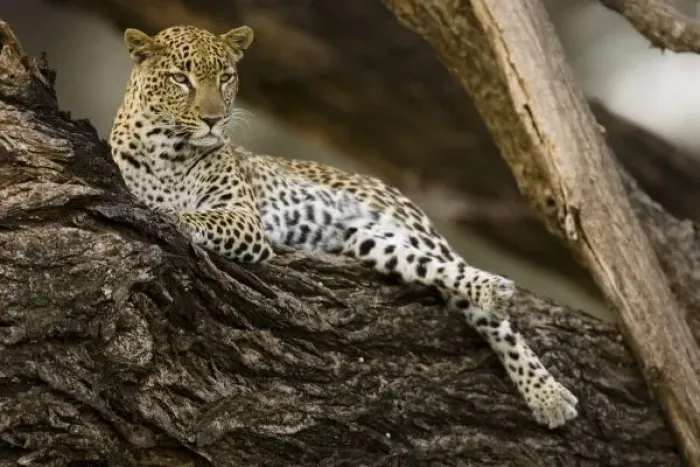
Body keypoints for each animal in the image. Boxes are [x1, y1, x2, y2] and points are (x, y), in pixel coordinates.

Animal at [109, 24, 579, 429]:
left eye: (225, 78)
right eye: (180, 79)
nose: (213, 119)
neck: (168, 153)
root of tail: (384, 185)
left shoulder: (244, 219)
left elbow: (188, 214)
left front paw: (161, 212)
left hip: (411, 230)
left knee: (491, 315)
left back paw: (545, 390)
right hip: (374, 243)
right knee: (438, 273)